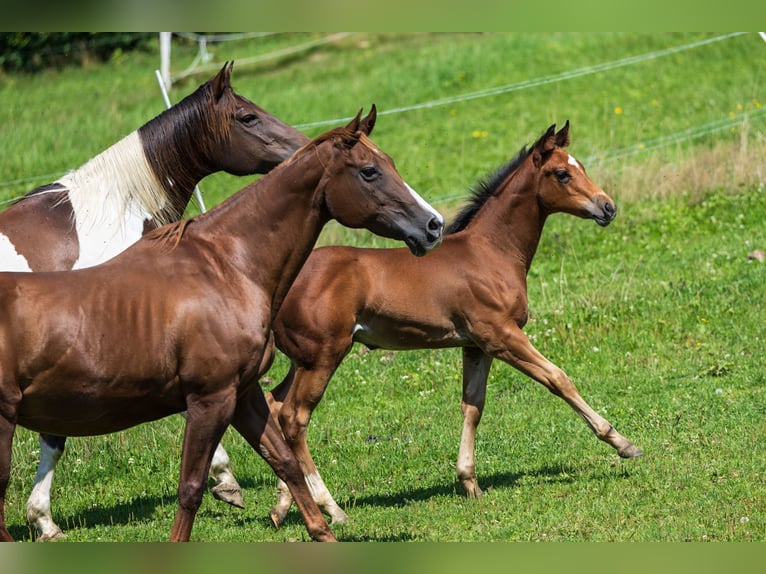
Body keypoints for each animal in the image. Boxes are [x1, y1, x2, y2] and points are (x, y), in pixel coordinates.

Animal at [265, 121, 643, 526]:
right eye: (562, 173)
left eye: (581, 166)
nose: (607, 206)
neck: (490, 253)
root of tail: (277, 285)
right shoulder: (502, 336)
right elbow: (558, 378)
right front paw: (623, 443)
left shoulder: (475, 347)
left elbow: (473, 406)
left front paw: (470, 483)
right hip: (323, 356)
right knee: (293, 417)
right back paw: (331, 508)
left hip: (303, 358)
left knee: (275, 405)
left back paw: (283, 504)